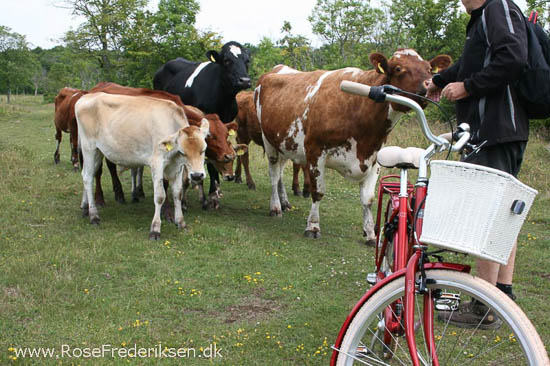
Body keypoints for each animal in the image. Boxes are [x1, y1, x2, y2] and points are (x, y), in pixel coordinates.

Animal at [75, 93, 209, 239]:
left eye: (203, 150)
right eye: (183, 152)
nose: (197, 175)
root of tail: (87, 96)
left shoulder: (177, 166)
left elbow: (177, 193)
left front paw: (181, 222)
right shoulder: (157, 162)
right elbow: (160, 196)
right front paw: (155, 229)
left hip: (99, 151)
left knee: (87, 174)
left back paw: (85, 207)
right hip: (89, 147)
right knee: (88, 177)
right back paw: (94, 216)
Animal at [153, 41, 252, 207]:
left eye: (247, 61)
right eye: (227, 60)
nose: (244, 80)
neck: (223, 99)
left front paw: (215, 191)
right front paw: (212, 195)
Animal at [256, 49, 450, 243]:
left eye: (429, 69)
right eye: (398, 68)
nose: (429, 86)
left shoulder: (374, 159)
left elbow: (368, 199)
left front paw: (370, 233)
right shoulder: (315, 150)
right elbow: (318, 191)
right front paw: (313, 226)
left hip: (284, 143)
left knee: (280, 173)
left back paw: (284, 202)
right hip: (268, 141)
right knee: (274, 175)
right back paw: (275, 207)